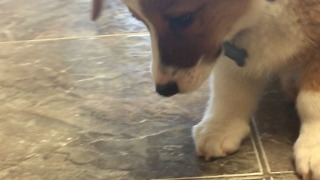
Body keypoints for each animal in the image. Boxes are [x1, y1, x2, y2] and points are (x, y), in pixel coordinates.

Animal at [93, 0, 320, 179]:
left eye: (183, 19)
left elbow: (310, 101)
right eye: (140, 20)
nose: (164, 90)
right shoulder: (229, 46)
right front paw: (221, 127)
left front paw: (314, 146)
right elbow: (229, 87)